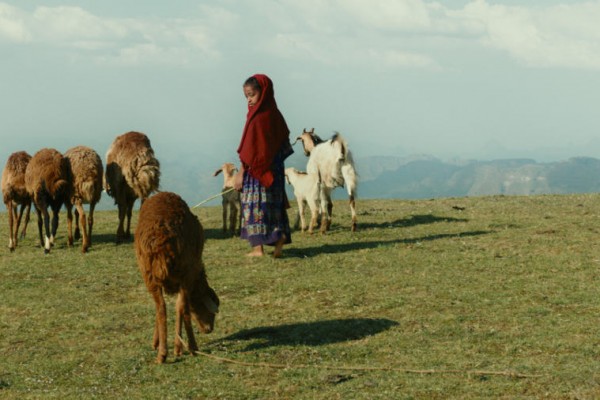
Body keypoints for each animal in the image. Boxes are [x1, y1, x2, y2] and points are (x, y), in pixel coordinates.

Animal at [135, 191, 219, 364]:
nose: (209, 329)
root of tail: (162, 240)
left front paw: (158, 343)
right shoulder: (189, 276)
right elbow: (182, 307)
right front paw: (178, 348)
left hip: (149, 275)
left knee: (161, 308)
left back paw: (162, 354)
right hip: (185, 272)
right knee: (181, 307)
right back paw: (191, 347)